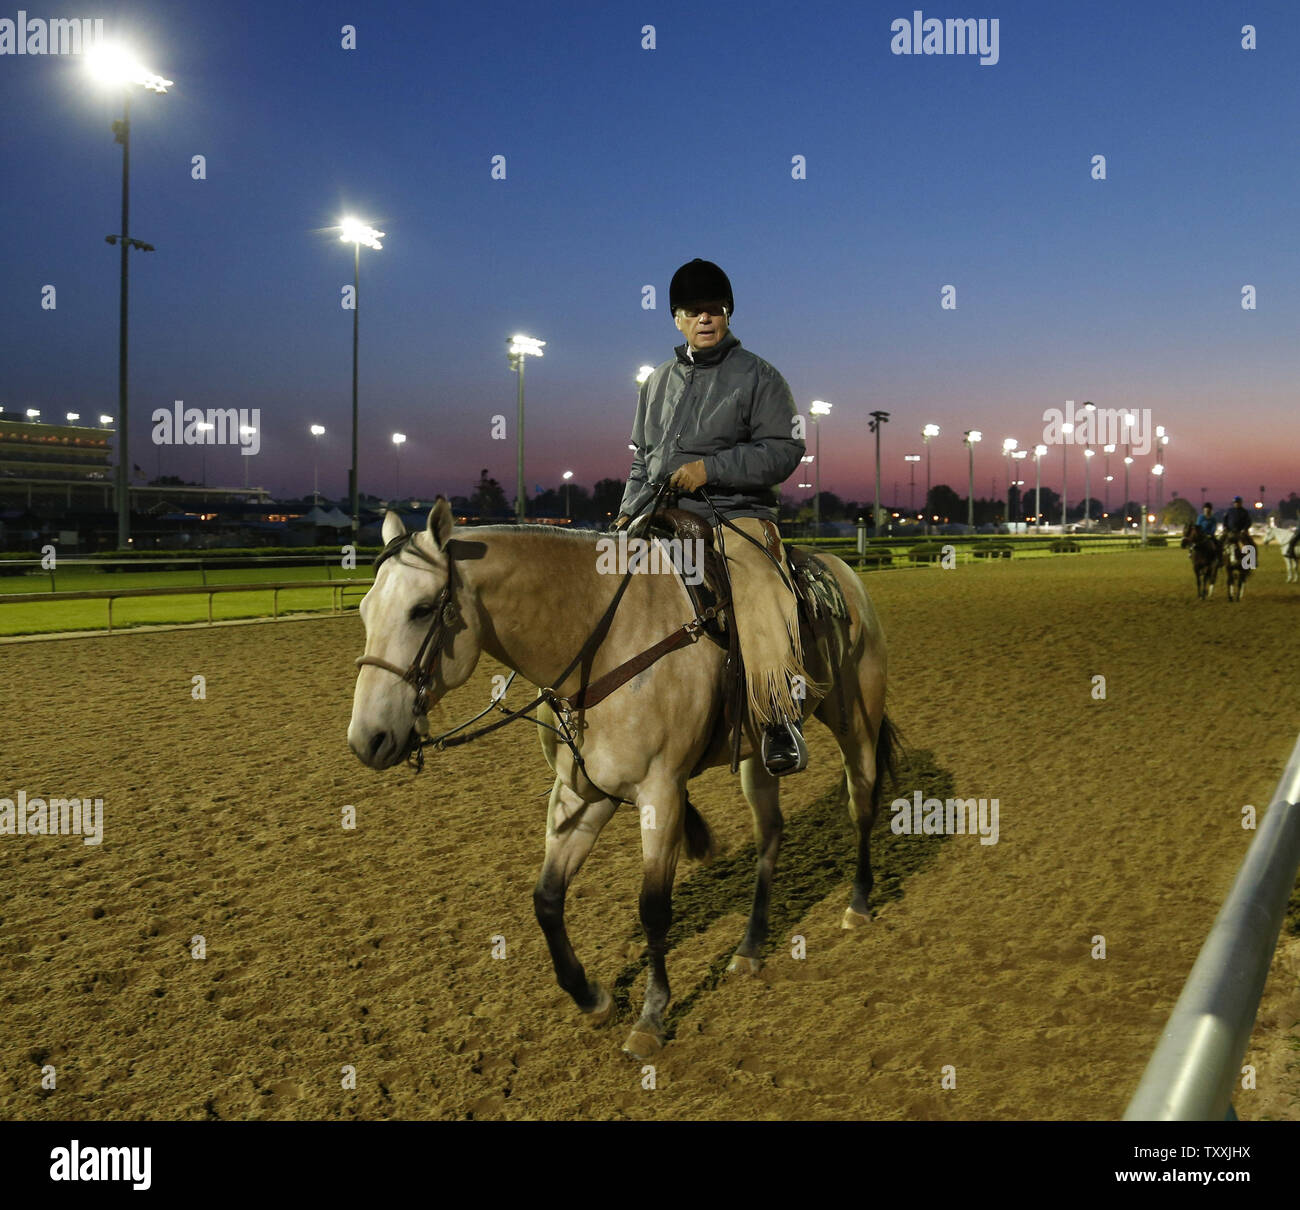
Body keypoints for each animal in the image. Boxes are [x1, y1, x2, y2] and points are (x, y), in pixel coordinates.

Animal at [345, 501, 894, 1060]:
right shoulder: (584, 794)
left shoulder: (662, 793)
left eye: (421, 609)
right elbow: (546, 899)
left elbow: (653, 908)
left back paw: (858, 904)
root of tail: (841, 571)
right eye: (365, 610)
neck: (605, 641)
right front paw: (592, 997)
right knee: (770, 833)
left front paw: (651, 1017)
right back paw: (750, 947)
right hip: (757, 753)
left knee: (862, 804)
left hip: (856, 720)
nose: (367, 738)